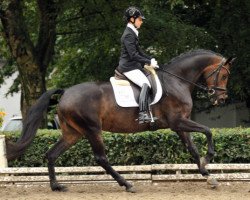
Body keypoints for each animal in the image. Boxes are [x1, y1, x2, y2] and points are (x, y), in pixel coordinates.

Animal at [5, 48, 234, 192]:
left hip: (73, 133)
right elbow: (207, 131)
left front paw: (208, 175)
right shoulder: (177, 122)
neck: (176, 81)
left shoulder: (179, 125)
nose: (221, 99)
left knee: (51, 154)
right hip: (92, 130)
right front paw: (209, 158)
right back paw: (127, 184)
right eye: (224, 75)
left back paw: (56, 186)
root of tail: (66, 92)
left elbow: (193, 149)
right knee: (101, 158)